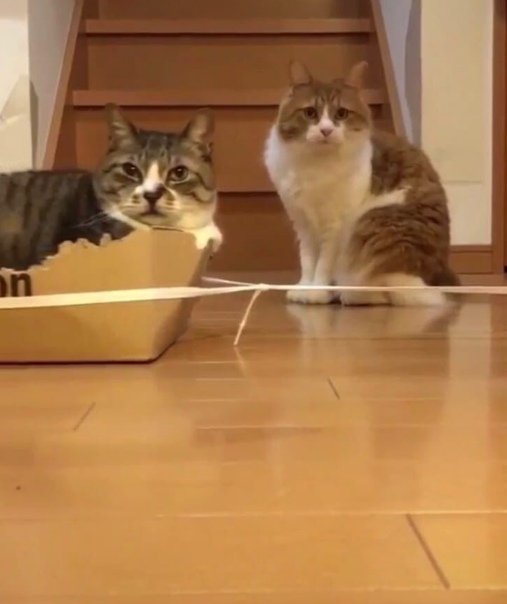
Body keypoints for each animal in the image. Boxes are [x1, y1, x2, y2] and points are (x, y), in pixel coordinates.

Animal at [264, 60, 460, 307]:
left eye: (341, 113)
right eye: (310, 113)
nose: (326, 130)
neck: (315, 165)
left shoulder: (335, 225)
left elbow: (323, 264)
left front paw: (317, 292)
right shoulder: (303, 222)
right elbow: (307, 261)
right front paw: (303, 288)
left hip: (374, 224)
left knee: (393, 292)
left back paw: (348, 294)